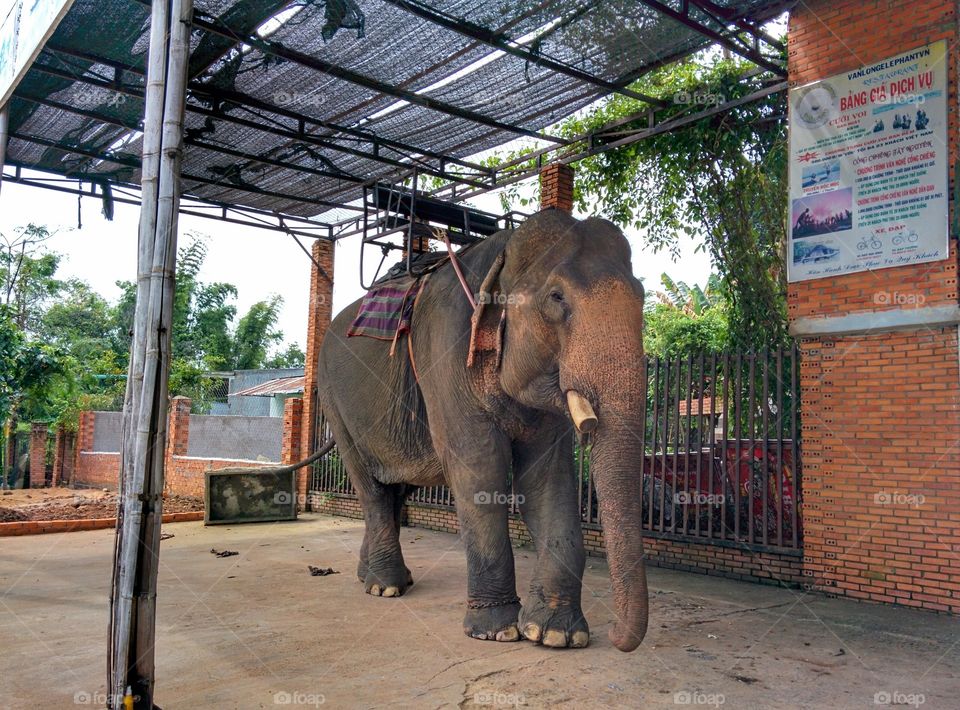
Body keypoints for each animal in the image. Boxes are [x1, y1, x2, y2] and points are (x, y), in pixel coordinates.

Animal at [316, 208, 648, 652]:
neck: (503, 255)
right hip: (335, 404)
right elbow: (480, 467)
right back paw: (385, 587)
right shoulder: (446, 353)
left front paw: (556, 634)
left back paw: (373, 577)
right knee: (370, 487)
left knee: (394, 489)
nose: (615, 635)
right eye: (557, 298)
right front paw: (497, 631)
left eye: (642, 296)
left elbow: (546, 478)